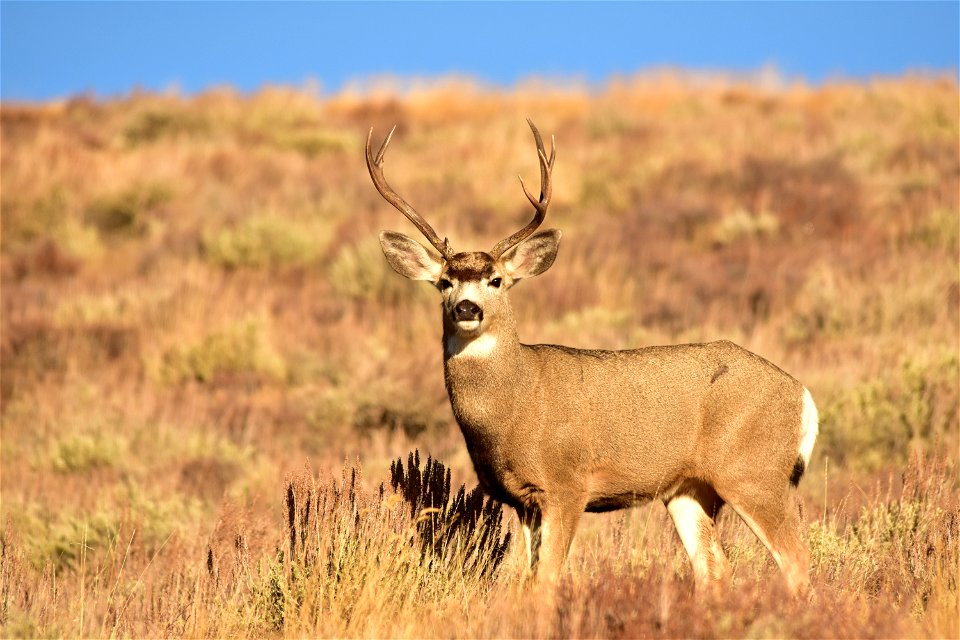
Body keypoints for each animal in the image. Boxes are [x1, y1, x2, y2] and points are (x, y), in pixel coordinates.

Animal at [366, 120, 816, 596]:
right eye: (444, 282)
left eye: (496, 280)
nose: (467, 308)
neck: (517, 404)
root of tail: (802, 394)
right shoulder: (523, 499)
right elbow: (528, 578)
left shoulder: (567, 484)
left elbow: (546, 580)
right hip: (689, 489)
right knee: (714, 567)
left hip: (754, 472)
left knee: (796, 560)